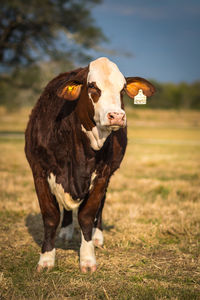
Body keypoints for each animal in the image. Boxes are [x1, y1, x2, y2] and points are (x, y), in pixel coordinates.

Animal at [25, 56, 155, 272]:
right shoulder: (39, 172)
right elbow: (50, 216)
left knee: (101, 206)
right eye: (92, 86)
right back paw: (66, 231)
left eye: (122, 89)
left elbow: (87, 215)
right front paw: (46, 259)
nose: (117, 116)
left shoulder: (102, 175)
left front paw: (87, 258)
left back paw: (97, 237)